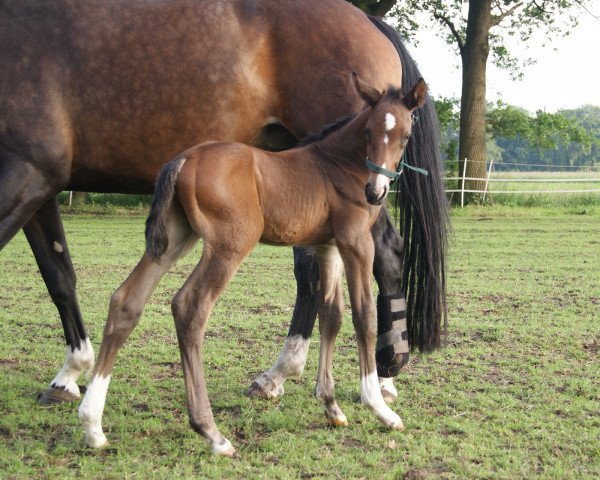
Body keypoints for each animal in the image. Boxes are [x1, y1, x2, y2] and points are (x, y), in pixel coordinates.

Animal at [0, 0, 448, 404]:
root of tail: (368, 20)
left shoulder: (29, 172)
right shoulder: (41, 184)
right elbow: (59, 274)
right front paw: (68, 375)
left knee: (385, 252)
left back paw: (383, 373)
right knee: (313, 274)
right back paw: (281, 374)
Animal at [78, 73, 426, 456]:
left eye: (404, 135)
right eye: (368, 131)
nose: (375, 192)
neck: (336, 163)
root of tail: (184, 158)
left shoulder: (327, 246)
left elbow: (331, 315)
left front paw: (331, 406)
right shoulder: (356, 243)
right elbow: (363, 316)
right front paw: (378, 407)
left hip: (173, 239)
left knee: (126, 301)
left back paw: (93, 425)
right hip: (231, 243)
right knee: (190, 306)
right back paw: (212, 433)